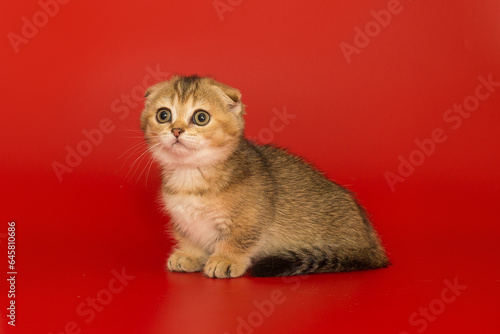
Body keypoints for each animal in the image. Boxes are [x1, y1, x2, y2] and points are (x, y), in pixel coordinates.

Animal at [141, 74, 390, 278]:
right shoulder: (184, 219)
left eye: (201, 117)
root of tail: (374, 246)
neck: (191, 176)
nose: (176, 131)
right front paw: (190, 254)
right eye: (163, 115)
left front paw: (226, 259)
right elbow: (188, 235)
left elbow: (239, 239)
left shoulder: (251, 218)